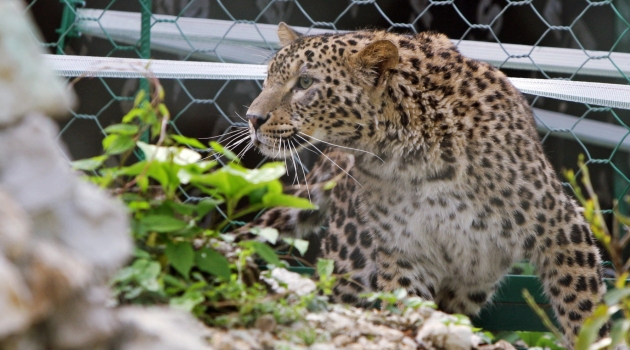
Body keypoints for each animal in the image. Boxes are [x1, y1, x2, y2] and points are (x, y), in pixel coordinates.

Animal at [242, 22, 608, 348]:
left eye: (304, 82)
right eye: (268, 78)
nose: (252, 118)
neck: (408, 155)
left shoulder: (561, 227)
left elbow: (584, 311)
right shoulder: (404, 252)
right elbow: (410, 308)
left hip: (474, 277)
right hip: (353, 265)